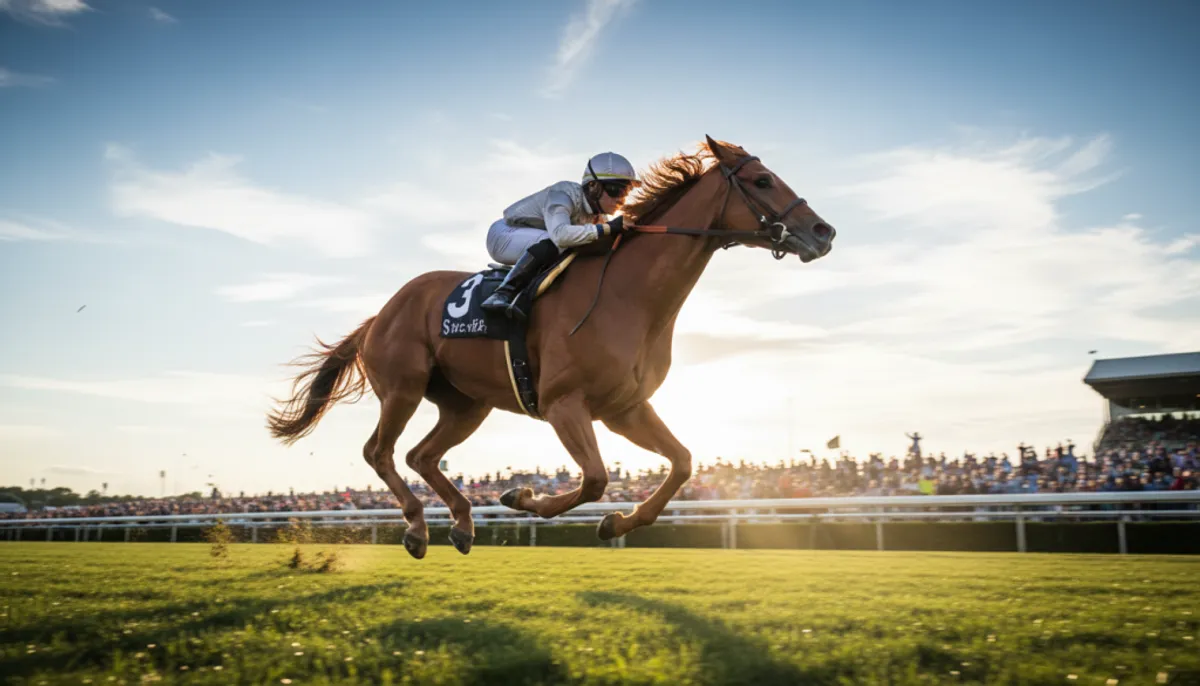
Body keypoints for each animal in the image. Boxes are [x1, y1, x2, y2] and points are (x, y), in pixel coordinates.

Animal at [266, 135, 836, 559]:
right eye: (762, 181)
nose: (823, 231)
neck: (629, 296)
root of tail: (379, 315)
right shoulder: (565, 403)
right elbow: (596, 478)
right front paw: (523, 496)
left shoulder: (625, 407)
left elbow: (682, 463)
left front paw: (618, 522)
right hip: (403, 387)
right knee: (379, 451)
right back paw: (416, 528)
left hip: (466, 404)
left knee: (420, 455)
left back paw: (463, 525)